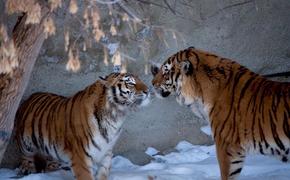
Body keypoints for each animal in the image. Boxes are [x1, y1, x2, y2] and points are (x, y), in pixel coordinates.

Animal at [14, 72, 150, 179]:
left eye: (140, 80)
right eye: (130, 83)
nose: (148, 91)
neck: (116, 115)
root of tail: (30, 96)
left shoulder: (107, 150)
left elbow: (103, 172)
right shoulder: (80, 155)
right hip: (25, 141)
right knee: (25, 155)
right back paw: (27, 168)